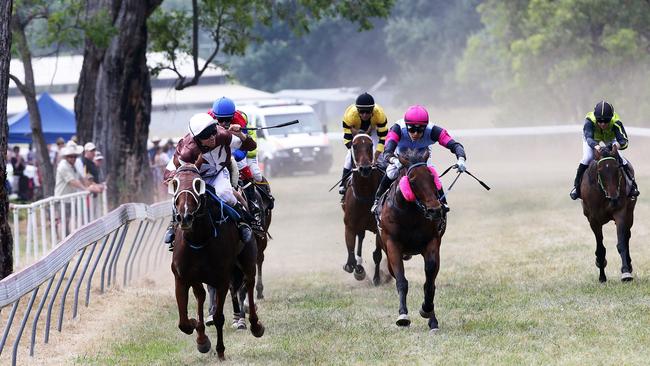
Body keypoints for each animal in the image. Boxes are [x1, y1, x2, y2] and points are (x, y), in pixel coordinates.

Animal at [170, 166, 266, 360]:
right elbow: (183, 323)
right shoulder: (182, 278)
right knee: (201, 295)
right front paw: (200, 335)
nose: (184, 216)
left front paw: (220, 351)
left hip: (248, 257)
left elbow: (219, 317)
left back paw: (255, 324)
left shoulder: (222, 278)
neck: (199, 239)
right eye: (175, 184)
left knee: (249, 283)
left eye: (198, 184)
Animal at [340, 133, 384, 284]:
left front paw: (377, 278)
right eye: (354, 146)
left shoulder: (379, 228)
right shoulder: (350, 225)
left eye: (370, 145)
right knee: (360, 238)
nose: (365, 168)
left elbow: (377, 254)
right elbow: (351, 250)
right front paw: (355, 268)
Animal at [374, 150, 446, 330]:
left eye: (432, 177)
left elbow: (430, 279)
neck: (410, 213)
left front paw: (427, 310)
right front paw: (403, 315)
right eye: (412, 181)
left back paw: (432, 319)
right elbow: (401, 281)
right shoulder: (392, 244)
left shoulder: (432, 241)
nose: (435, 210)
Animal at [576, 144, 632, 282]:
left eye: (617, 168)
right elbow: (600, 249)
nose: (614, 198)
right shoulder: (593, 220)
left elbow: (621, 243)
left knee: (627, 236)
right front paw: (602, 277)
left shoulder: (620, 212)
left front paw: (626, 272)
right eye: (600, 170)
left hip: (630, 212)